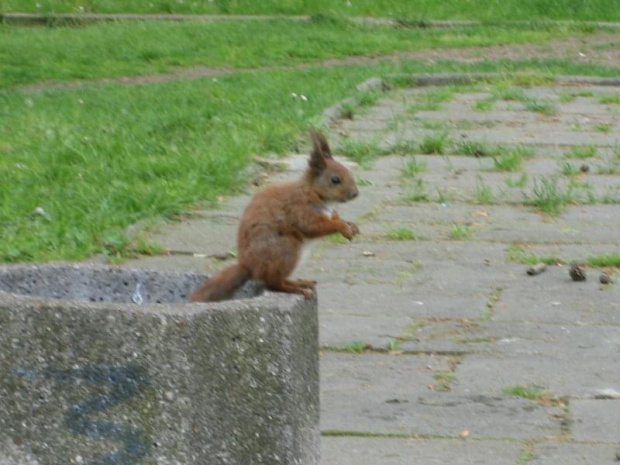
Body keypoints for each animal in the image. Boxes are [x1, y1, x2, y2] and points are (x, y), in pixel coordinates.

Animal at [191, 131, 360, 304]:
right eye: (335, 180)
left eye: (349, 173)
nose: (355, 193)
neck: (319, 196)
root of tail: (249, 267)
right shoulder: (300, 209)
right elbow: (312, 227)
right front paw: (342, 227)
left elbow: (335, 218)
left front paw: (351, 225)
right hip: (285, 249)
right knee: (274, 283)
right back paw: (297, 288)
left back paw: (298, 282)